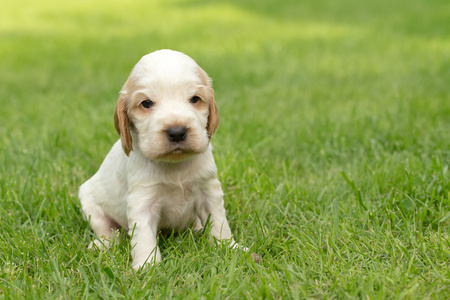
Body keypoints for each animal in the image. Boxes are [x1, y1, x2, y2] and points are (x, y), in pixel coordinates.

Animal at [79, 49, 244, 270]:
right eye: (146, 103)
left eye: (195, 99)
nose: (177, 132)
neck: (175, 166)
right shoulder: (143, 200)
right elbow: (144, 237)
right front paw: (147, 266)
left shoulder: (209, 190)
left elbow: (219, 222)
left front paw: (229, 247)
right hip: (89, 203)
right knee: (108, 233)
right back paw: (100, 245)